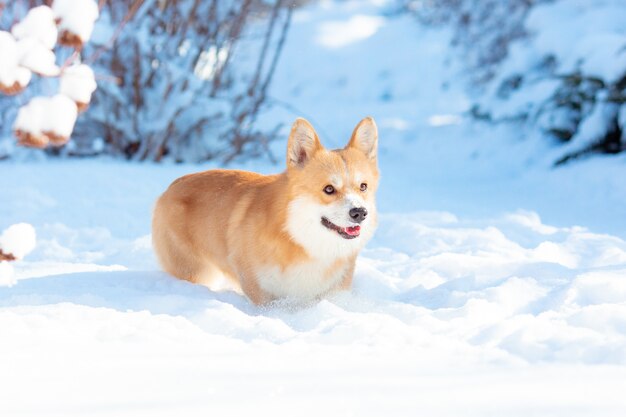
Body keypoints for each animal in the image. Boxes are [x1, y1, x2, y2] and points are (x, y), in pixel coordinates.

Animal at [154, 115, 378, 304]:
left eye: (363, 187)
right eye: (329, 189)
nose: (359, 213)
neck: (301, 240)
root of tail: (171, 186)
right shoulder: (259, 289)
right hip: (195, 272)